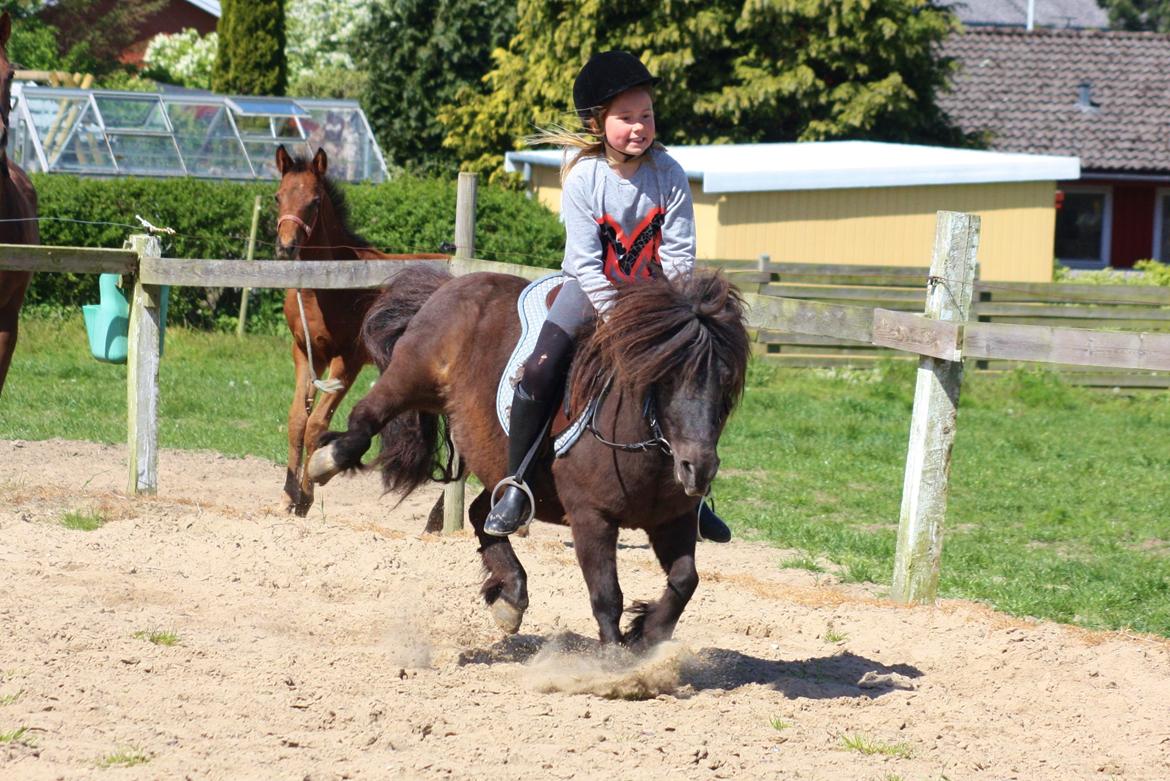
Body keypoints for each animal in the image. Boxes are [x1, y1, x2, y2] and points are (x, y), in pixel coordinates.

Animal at [272, 144, 446, 519]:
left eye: (314, 201)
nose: (285, 247)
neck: (329, 286)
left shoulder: (347, 359)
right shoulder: (305, 352)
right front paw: (287, 495)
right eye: (278, 196)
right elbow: (296, 420)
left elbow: (316, 424)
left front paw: (305, 496)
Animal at [311, 266, 748, 645]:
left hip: (504, 467)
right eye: (666, 376)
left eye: (725, 383)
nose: (698, 469)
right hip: (412, 376)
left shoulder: (673, 520)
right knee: (367, 415)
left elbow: (685, 581)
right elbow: (607, 596)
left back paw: (510, 595)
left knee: (484, 514)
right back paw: (326, 460)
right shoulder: (591, 518)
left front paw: (648, 634)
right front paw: (614, 664)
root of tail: (451, 283)